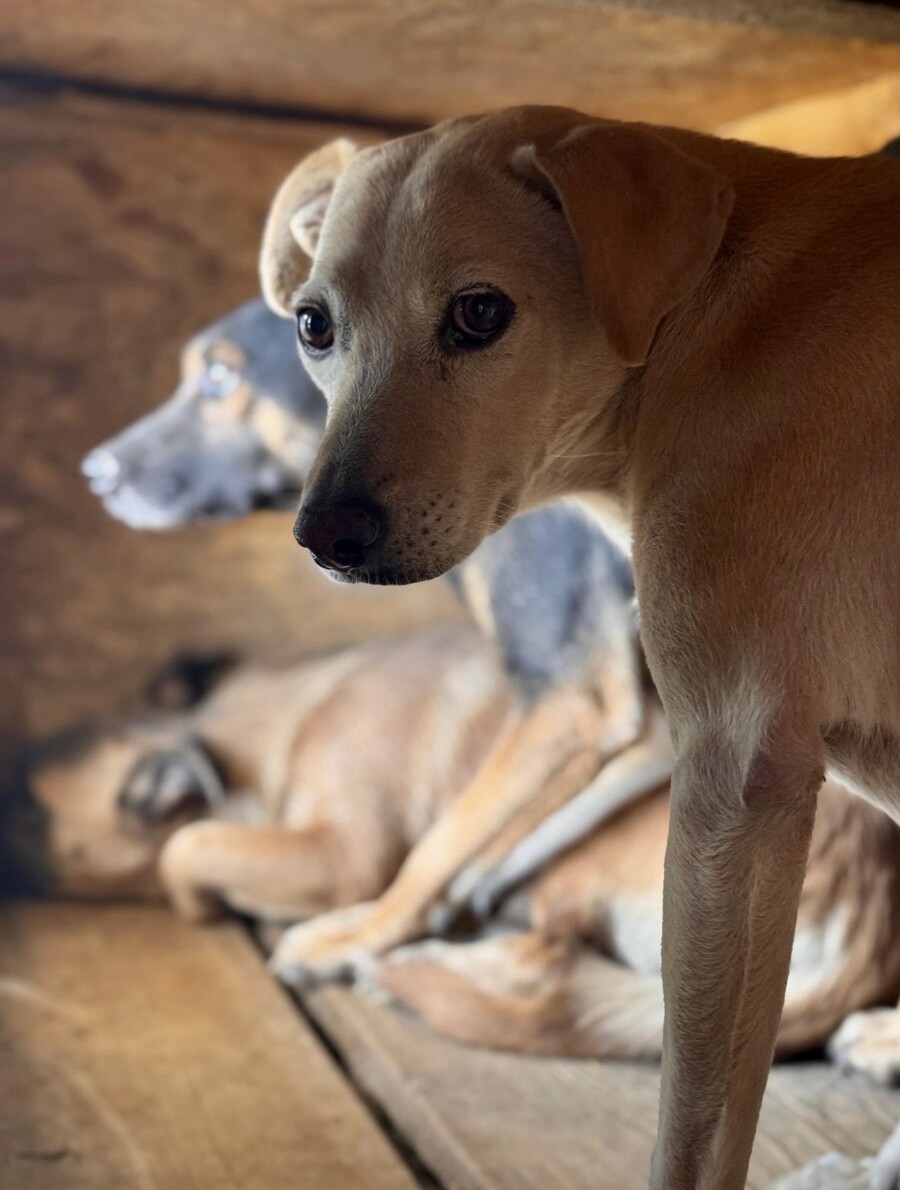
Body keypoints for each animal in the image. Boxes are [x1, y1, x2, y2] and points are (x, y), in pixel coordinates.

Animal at [3, 627, 900, 1080]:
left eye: (23, 812)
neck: (270, 724)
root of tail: (868, 927)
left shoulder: (345, 854)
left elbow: (187, 847)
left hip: (592, 852)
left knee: (545, 963)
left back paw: (409, 968)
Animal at [261, 111, 900, 1187]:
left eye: (480, 313)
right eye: (315, 327)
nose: (323, 535)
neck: (700, 324)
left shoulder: (732, 780)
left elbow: (694, 1122)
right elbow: (458, 842)